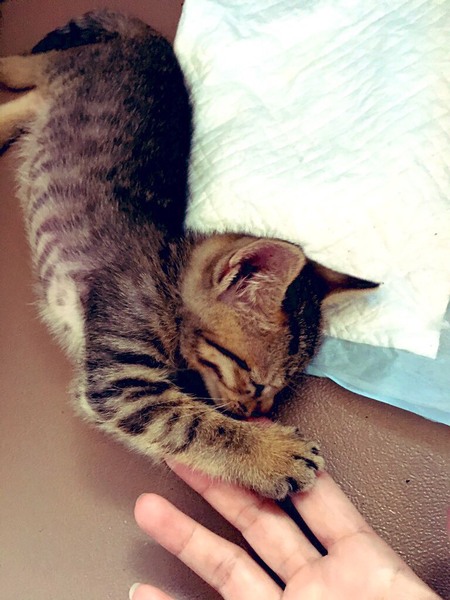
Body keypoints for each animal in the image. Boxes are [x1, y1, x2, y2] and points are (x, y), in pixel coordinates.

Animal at [0, 10, 377, 499]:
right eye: (256, 381)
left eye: (278, 391)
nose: (257, 413)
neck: (168, 272)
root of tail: (150, 40)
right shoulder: (122, 383)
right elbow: (195, 425)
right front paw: (272, 454)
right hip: (71, 68)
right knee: (37, 68)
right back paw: (7, 65)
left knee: (27, 102)